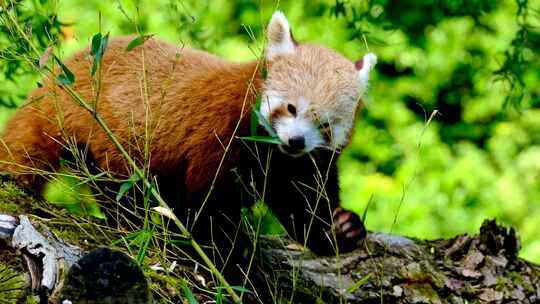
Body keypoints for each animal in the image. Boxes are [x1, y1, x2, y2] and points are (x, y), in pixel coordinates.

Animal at [1, 12, 376, 256]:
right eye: (291, 108)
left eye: (325, 124)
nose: (295, 142)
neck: (270, 151)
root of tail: (59, 81)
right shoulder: (221, 140)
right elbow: (211, 209)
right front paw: (234, 258)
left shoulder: (298, 166)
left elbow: (303, 202)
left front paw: (341, 228)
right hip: (104, 137)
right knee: (123, 192)